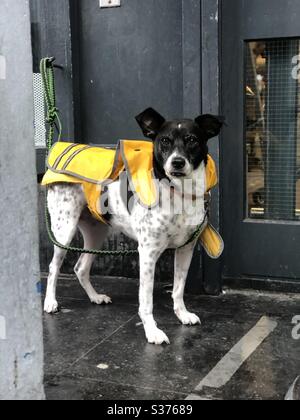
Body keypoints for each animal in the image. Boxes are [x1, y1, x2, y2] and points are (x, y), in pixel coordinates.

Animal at [44, 107, 223, 344]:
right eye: (164, 141)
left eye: (192, 140)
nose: (177, 162)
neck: (177, 192)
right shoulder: (147, 253)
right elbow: (146, 300)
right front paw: (152, 331)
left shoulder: (186, 248)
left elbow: (178, 288)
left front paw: (182, 314)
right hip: (64, 230)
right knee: (53, 267)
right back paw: (50, 302)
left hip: (96, 232)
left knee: (80, 267)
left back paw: (95, 297)